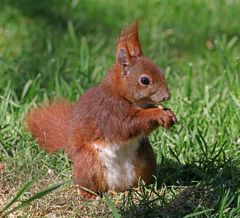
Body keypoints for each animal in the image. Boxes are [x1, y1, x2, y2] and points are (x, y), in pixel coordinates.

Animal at [25, 22, 177, 198]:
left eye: (162, 72)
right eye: (144, 80)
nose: (167, 96)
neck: (121, 94)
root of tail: (119, 187)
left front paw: (169, 112)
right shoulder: (107, 111)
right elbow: (126, 126)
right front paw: (158, 114)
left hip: (145, 158)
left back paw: (142, 189)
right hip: (89, 164)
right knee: (89, 184)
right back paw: (90, 195)